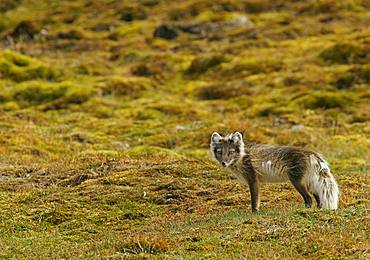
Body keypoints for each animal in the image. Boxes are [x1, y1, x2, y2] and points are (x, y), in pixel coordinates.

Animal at [210, 131, 340, 212]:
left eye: (230, 152)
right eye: (220, 152)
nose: (223, 163)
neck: (242, 157)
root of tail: (311, 153)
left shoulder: (253, 180)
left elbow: (254, 200)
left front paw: (254, 213)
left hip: (297, 182)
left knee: (308, 198)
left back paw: (304, 210)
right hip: (309, 182)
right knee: (318, 197)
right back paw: (319, 210)